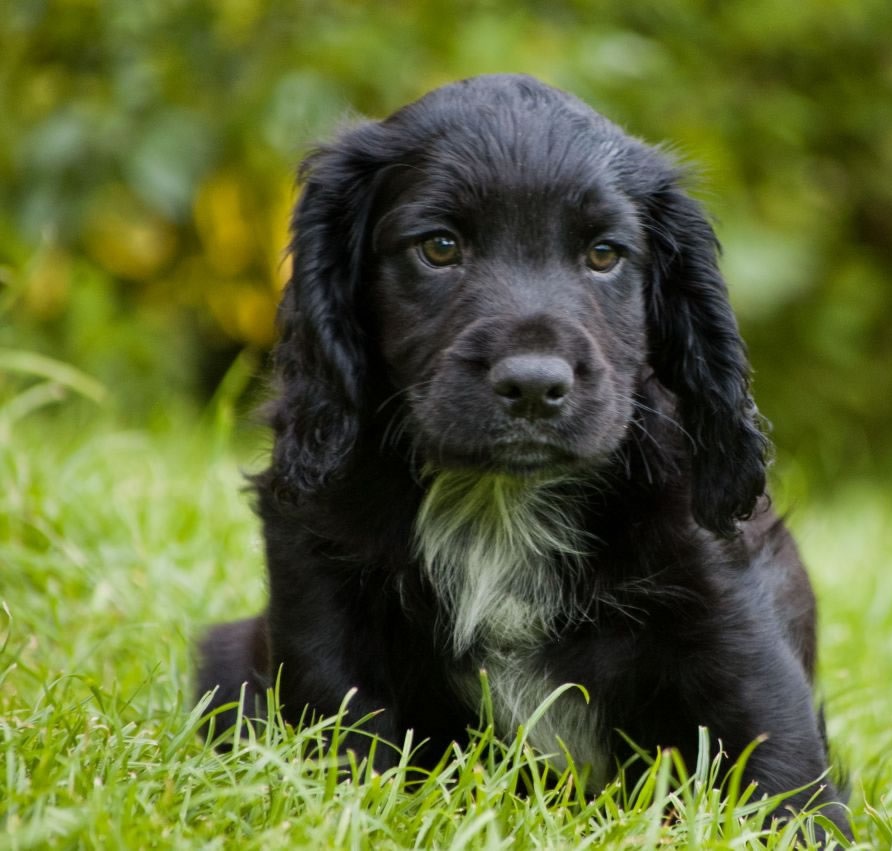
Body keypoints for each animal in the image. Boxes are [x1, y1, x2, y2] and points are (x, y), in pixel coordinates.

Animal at [200, 71, 852, 832]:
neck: (500, 499)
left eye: (604, 254)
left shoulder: (728, 614)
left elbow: (779, 771)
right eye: (439, 246)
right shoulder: (321, 586)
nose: (536, 386)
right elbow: (345, 733)